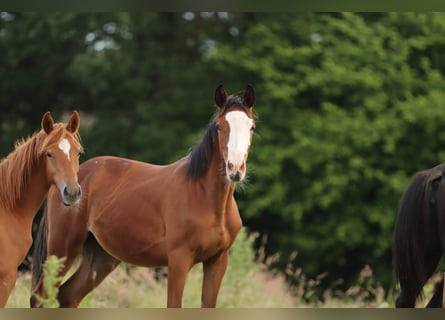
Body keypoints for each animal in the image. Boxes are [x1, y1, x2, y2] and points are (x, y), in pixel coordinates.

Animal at [31, 84, 256, 308]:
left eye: (251, 127)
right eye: (219, 126)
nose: (235, 168)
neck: (205, 197)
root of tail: (66, 181)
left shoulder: (217, 261)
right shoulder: (179, 259)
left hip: (100, 259)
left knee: (67, 296)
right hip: (62, 249)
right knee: (41, 295)